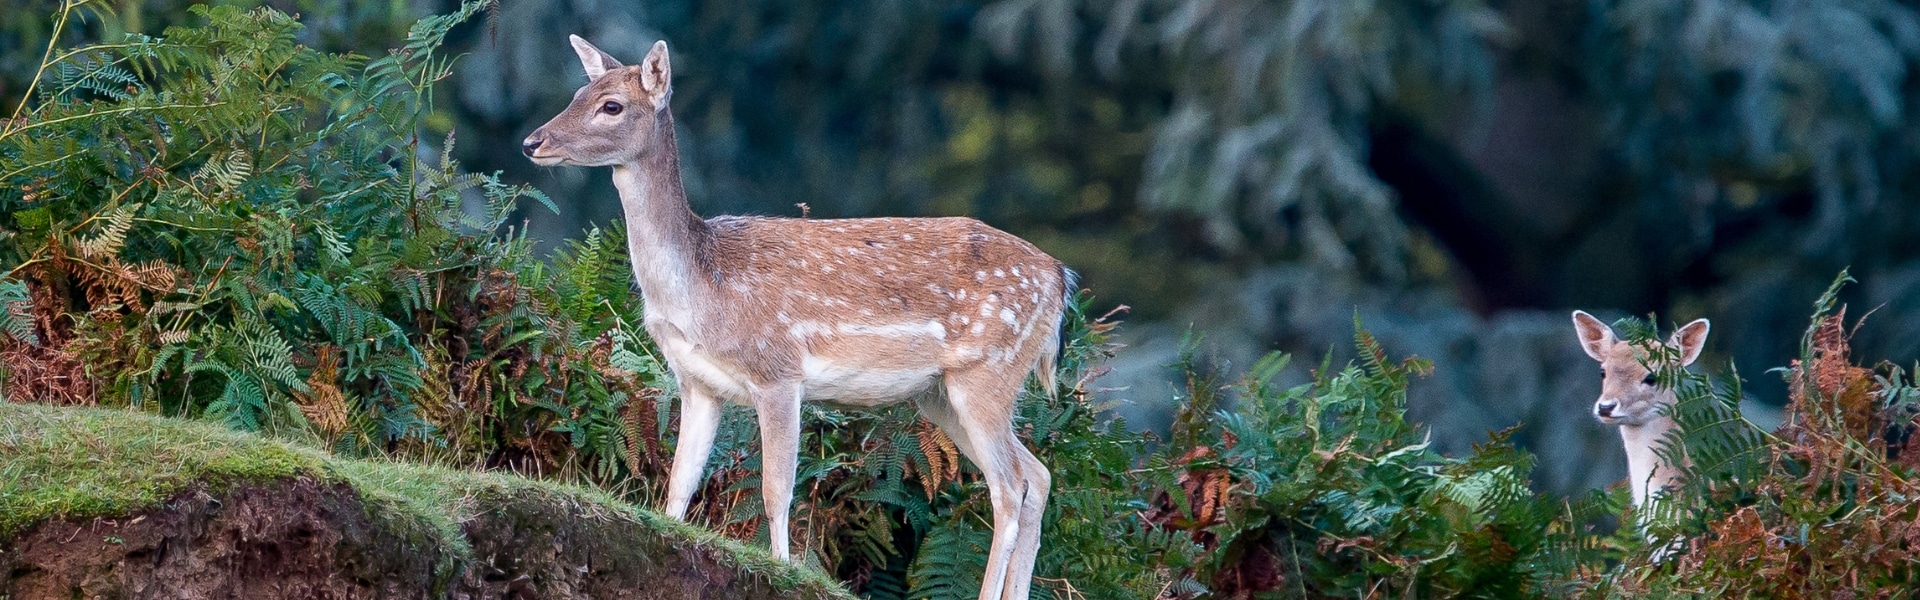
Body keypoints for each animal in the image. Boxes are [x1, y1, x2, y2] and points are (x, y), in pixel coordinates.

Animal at [522, 36, 1071, 600]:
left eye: (612, 106)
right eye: (578, 92)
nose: (531, 142)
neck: (701, 289)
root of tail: (1059, 279)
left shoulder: (777, 371)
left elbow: (776, 489)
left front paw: (782, 570)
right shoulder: (698, 383)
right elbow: (679, 484)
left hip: (989, 370)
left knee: (1009, 485)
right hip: (940, 394)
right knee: (1038, 476)